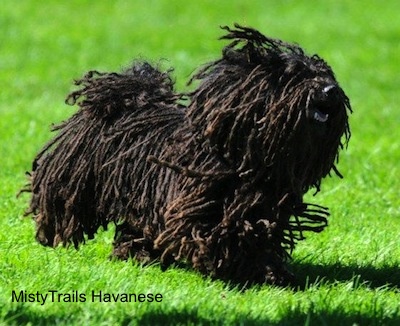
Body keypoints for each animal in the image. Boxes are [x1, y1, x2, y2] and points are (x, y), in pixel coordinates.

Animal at [25, 24, 350, 286]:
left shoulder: (265, 209)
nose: (331, 90)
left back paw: (138, 253)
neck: (248, 159)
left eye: (325, 74)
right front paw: (224, 265)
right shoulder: (198, 205)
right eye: (295, 76)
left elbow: (260, 236)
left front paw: (271, 273)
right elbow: (213, 233)